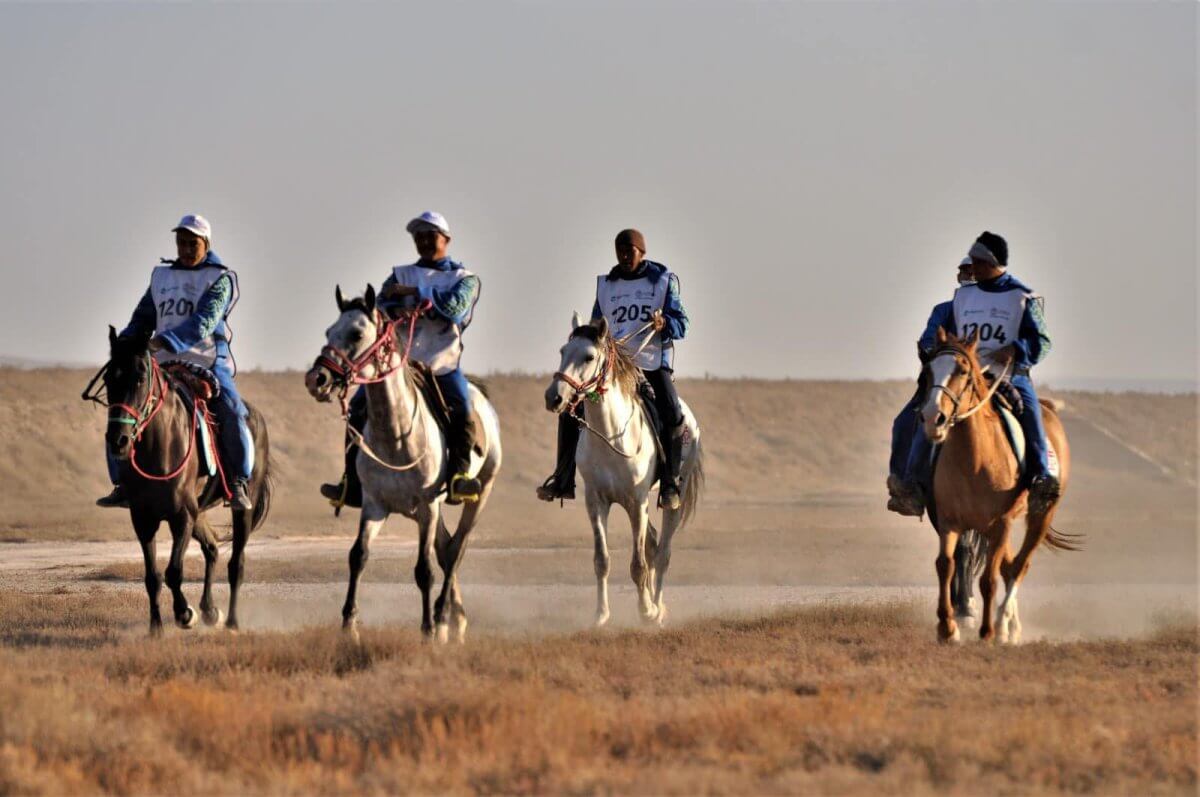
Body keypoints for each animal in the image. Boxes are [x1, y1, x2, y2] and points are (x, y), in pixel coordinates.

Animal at [307, 283, 504, 643]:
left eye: (357, 333)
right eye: (329, 331)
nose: (317, 379)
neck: (396, 435)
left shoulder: (427, 505)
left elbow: (423, 570)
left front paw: (427, 630)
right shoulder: (375, 504)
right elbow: (358, 556)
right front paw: (348, 625)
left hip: (478, 494)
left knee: (455, 550)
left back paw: (443, 616)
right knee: (445, 548)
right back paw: (455, 618)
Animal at [544, 314, 700, 624]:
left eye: (589, 356)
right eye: (562, 352)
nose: (554, 397)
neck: (611, 434)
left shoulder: (636, 502)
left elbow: (638, 564)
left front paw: (646, 611)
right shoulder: (596, 501)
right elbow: (602, 560)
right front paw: (600, 615)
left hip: (671, 499)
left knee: (662, 553)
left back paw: (657, 608)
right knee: (652, 544)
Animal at [916, 326, 1080, 643]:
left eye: (963, 371)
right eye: (927, 371)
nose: (933, 418)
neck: (975, 459)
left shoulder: (1001, 521)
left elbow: (989, 579)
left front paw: (988, 632)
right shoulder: (949, 521)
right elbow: (945, 565)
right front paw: (947, 629)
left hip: (1040, 514)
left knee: (1019, 565)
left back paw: (1004, 625)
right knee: (1008, 564)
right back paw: (1010, 625)